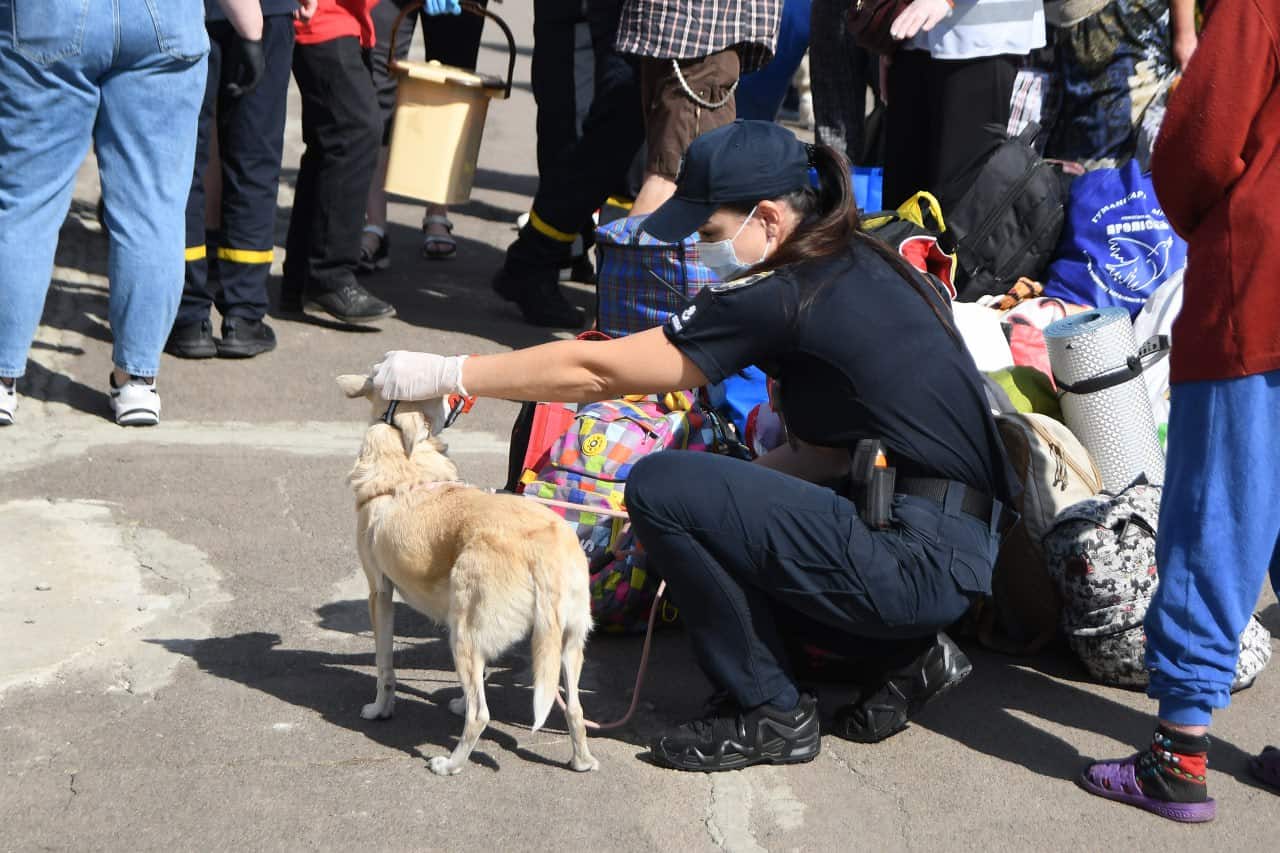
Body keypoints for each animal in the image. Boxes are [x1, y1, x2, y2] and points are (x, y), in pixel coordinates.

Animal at [340, 376, 599, 773]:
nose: (457, 397)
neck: (407, 468)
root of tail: (541, 549)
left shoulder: (379, 593)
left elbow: (385, 666)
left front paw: (380, 710)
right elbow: (477, 679)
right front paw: (457, 701)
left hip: (461, 632)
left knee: (481, 715)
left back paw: (450, 764)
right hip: (568, 643)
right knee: (574, 709)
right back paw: (581, 761)